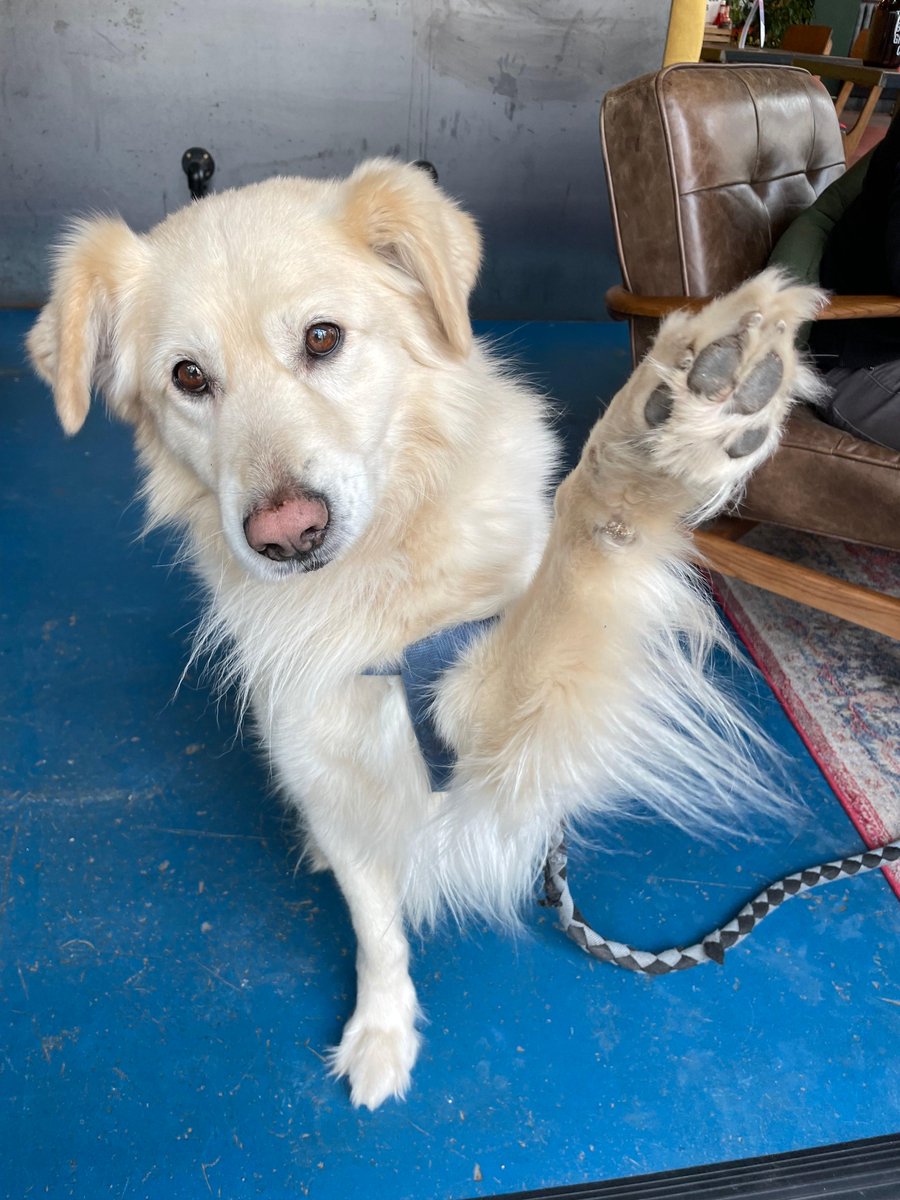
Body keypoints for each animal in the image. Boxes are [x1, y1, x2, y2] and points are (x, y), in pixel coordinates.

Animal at [28, 159, 820, 1104]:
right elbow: (375, 924)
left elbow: (569, 580)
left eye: (323, 338)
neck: (385, 577)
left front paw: (651, 455)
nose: (288, 535)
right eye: (188, 378)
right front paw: (381, 1029)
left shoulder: (505, 743)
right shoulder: (332, 765)